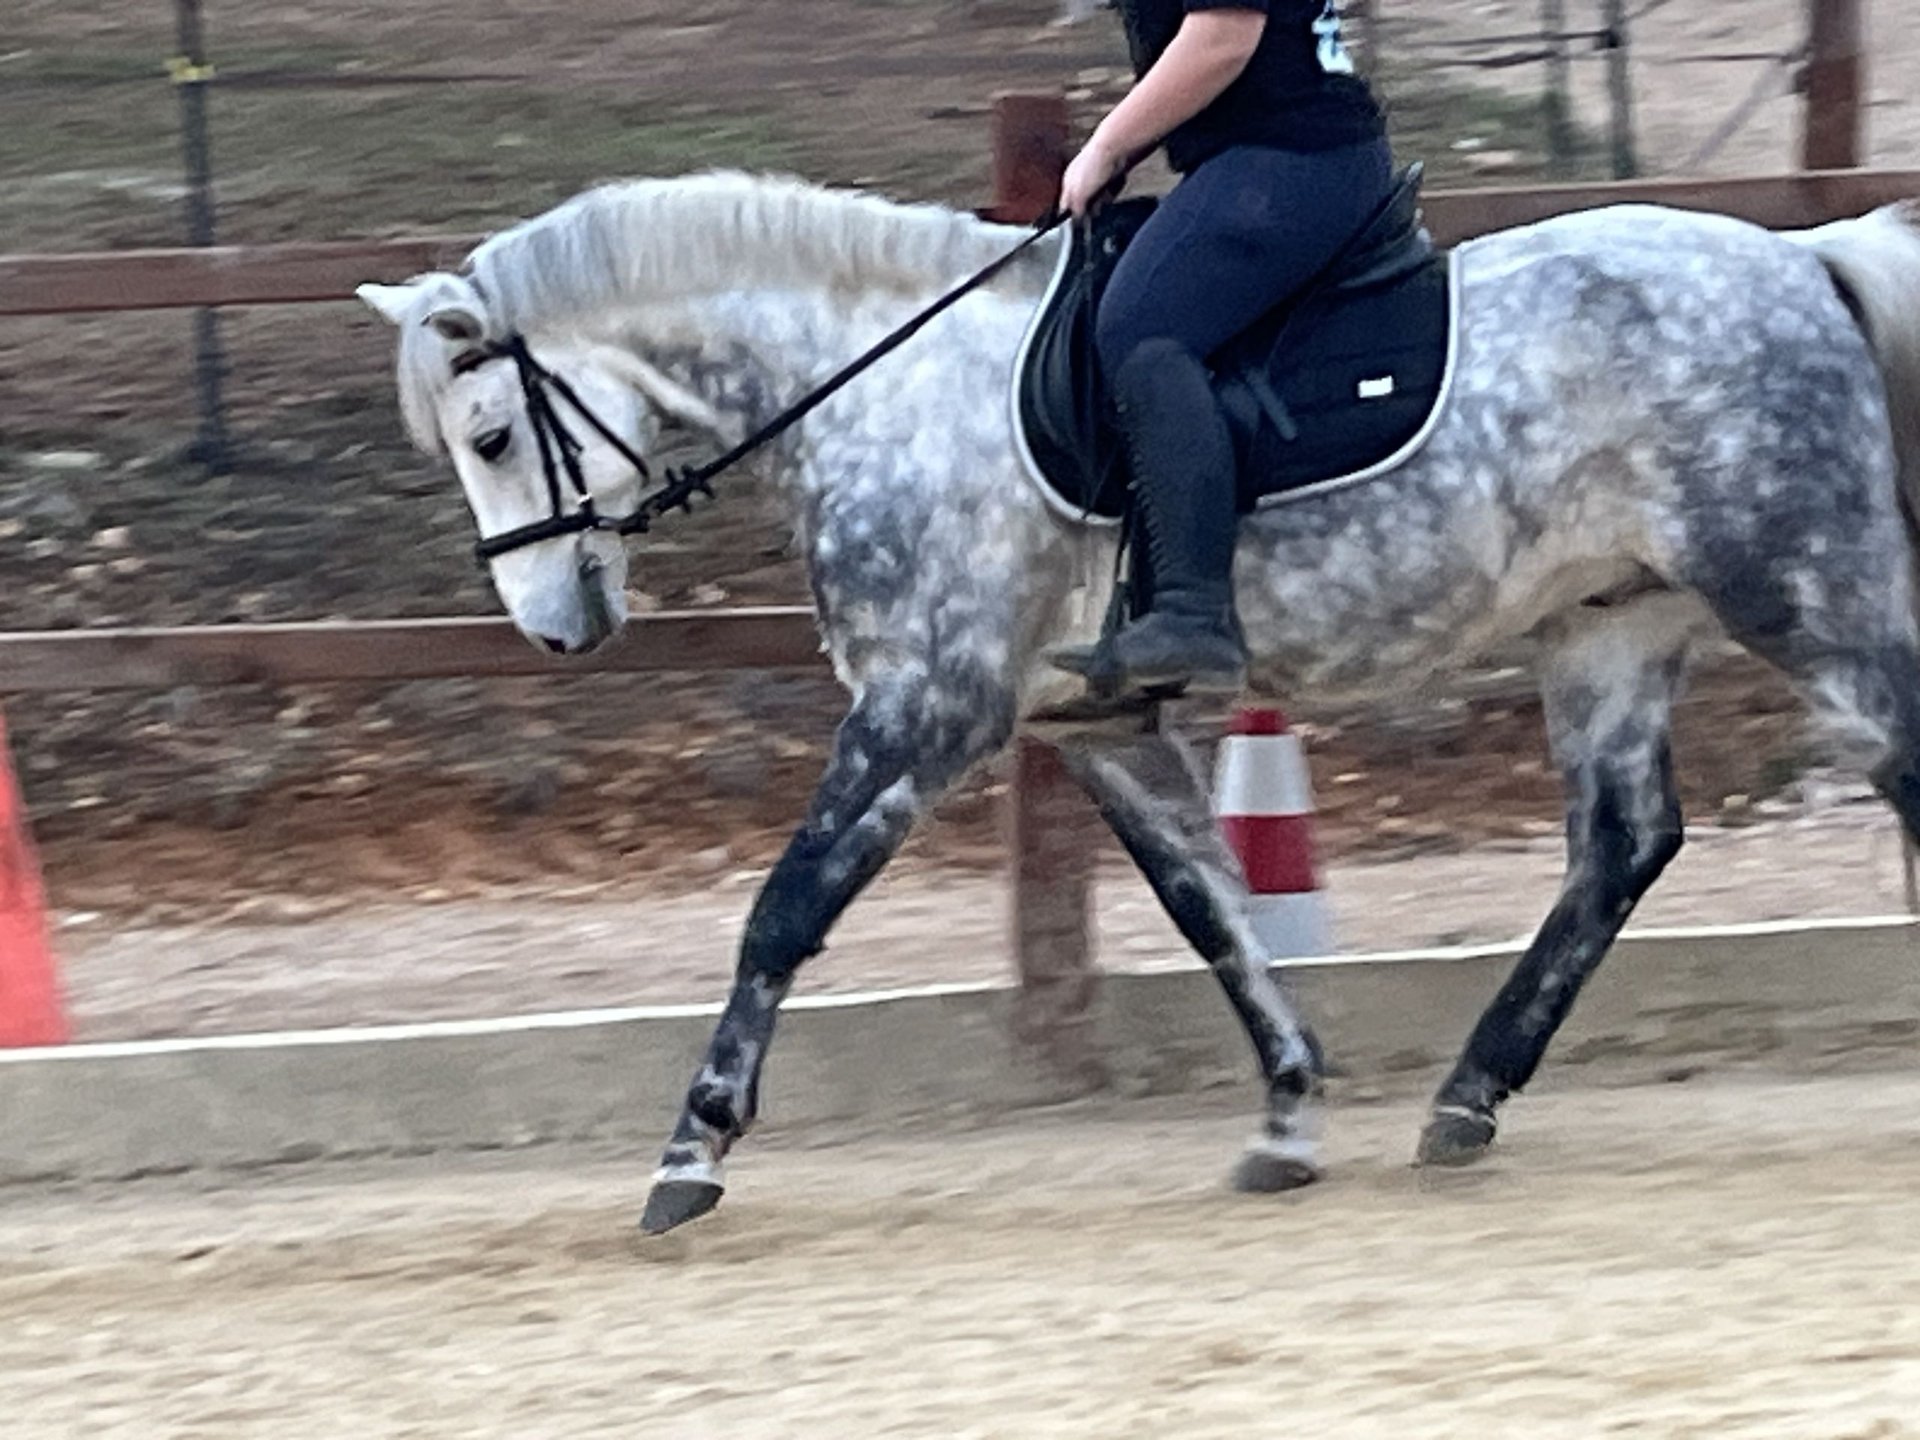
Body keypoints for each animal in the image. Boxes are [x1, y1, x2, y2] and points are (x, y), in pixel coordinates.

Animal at [358, 172, 1920, 1234]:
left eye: (490, 434)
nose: (554, 629)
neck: (886, 391)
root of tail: (1801, 256)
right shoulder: (1090, 728)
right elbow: (1209, 907)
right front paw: (1289, 1112)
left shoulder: (927, 711)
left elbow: (783, 913)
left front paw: (693, 1150)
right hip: (1610, 627)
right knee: (1622, 844)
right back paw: (1467, 1094)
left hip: (1804, 588)